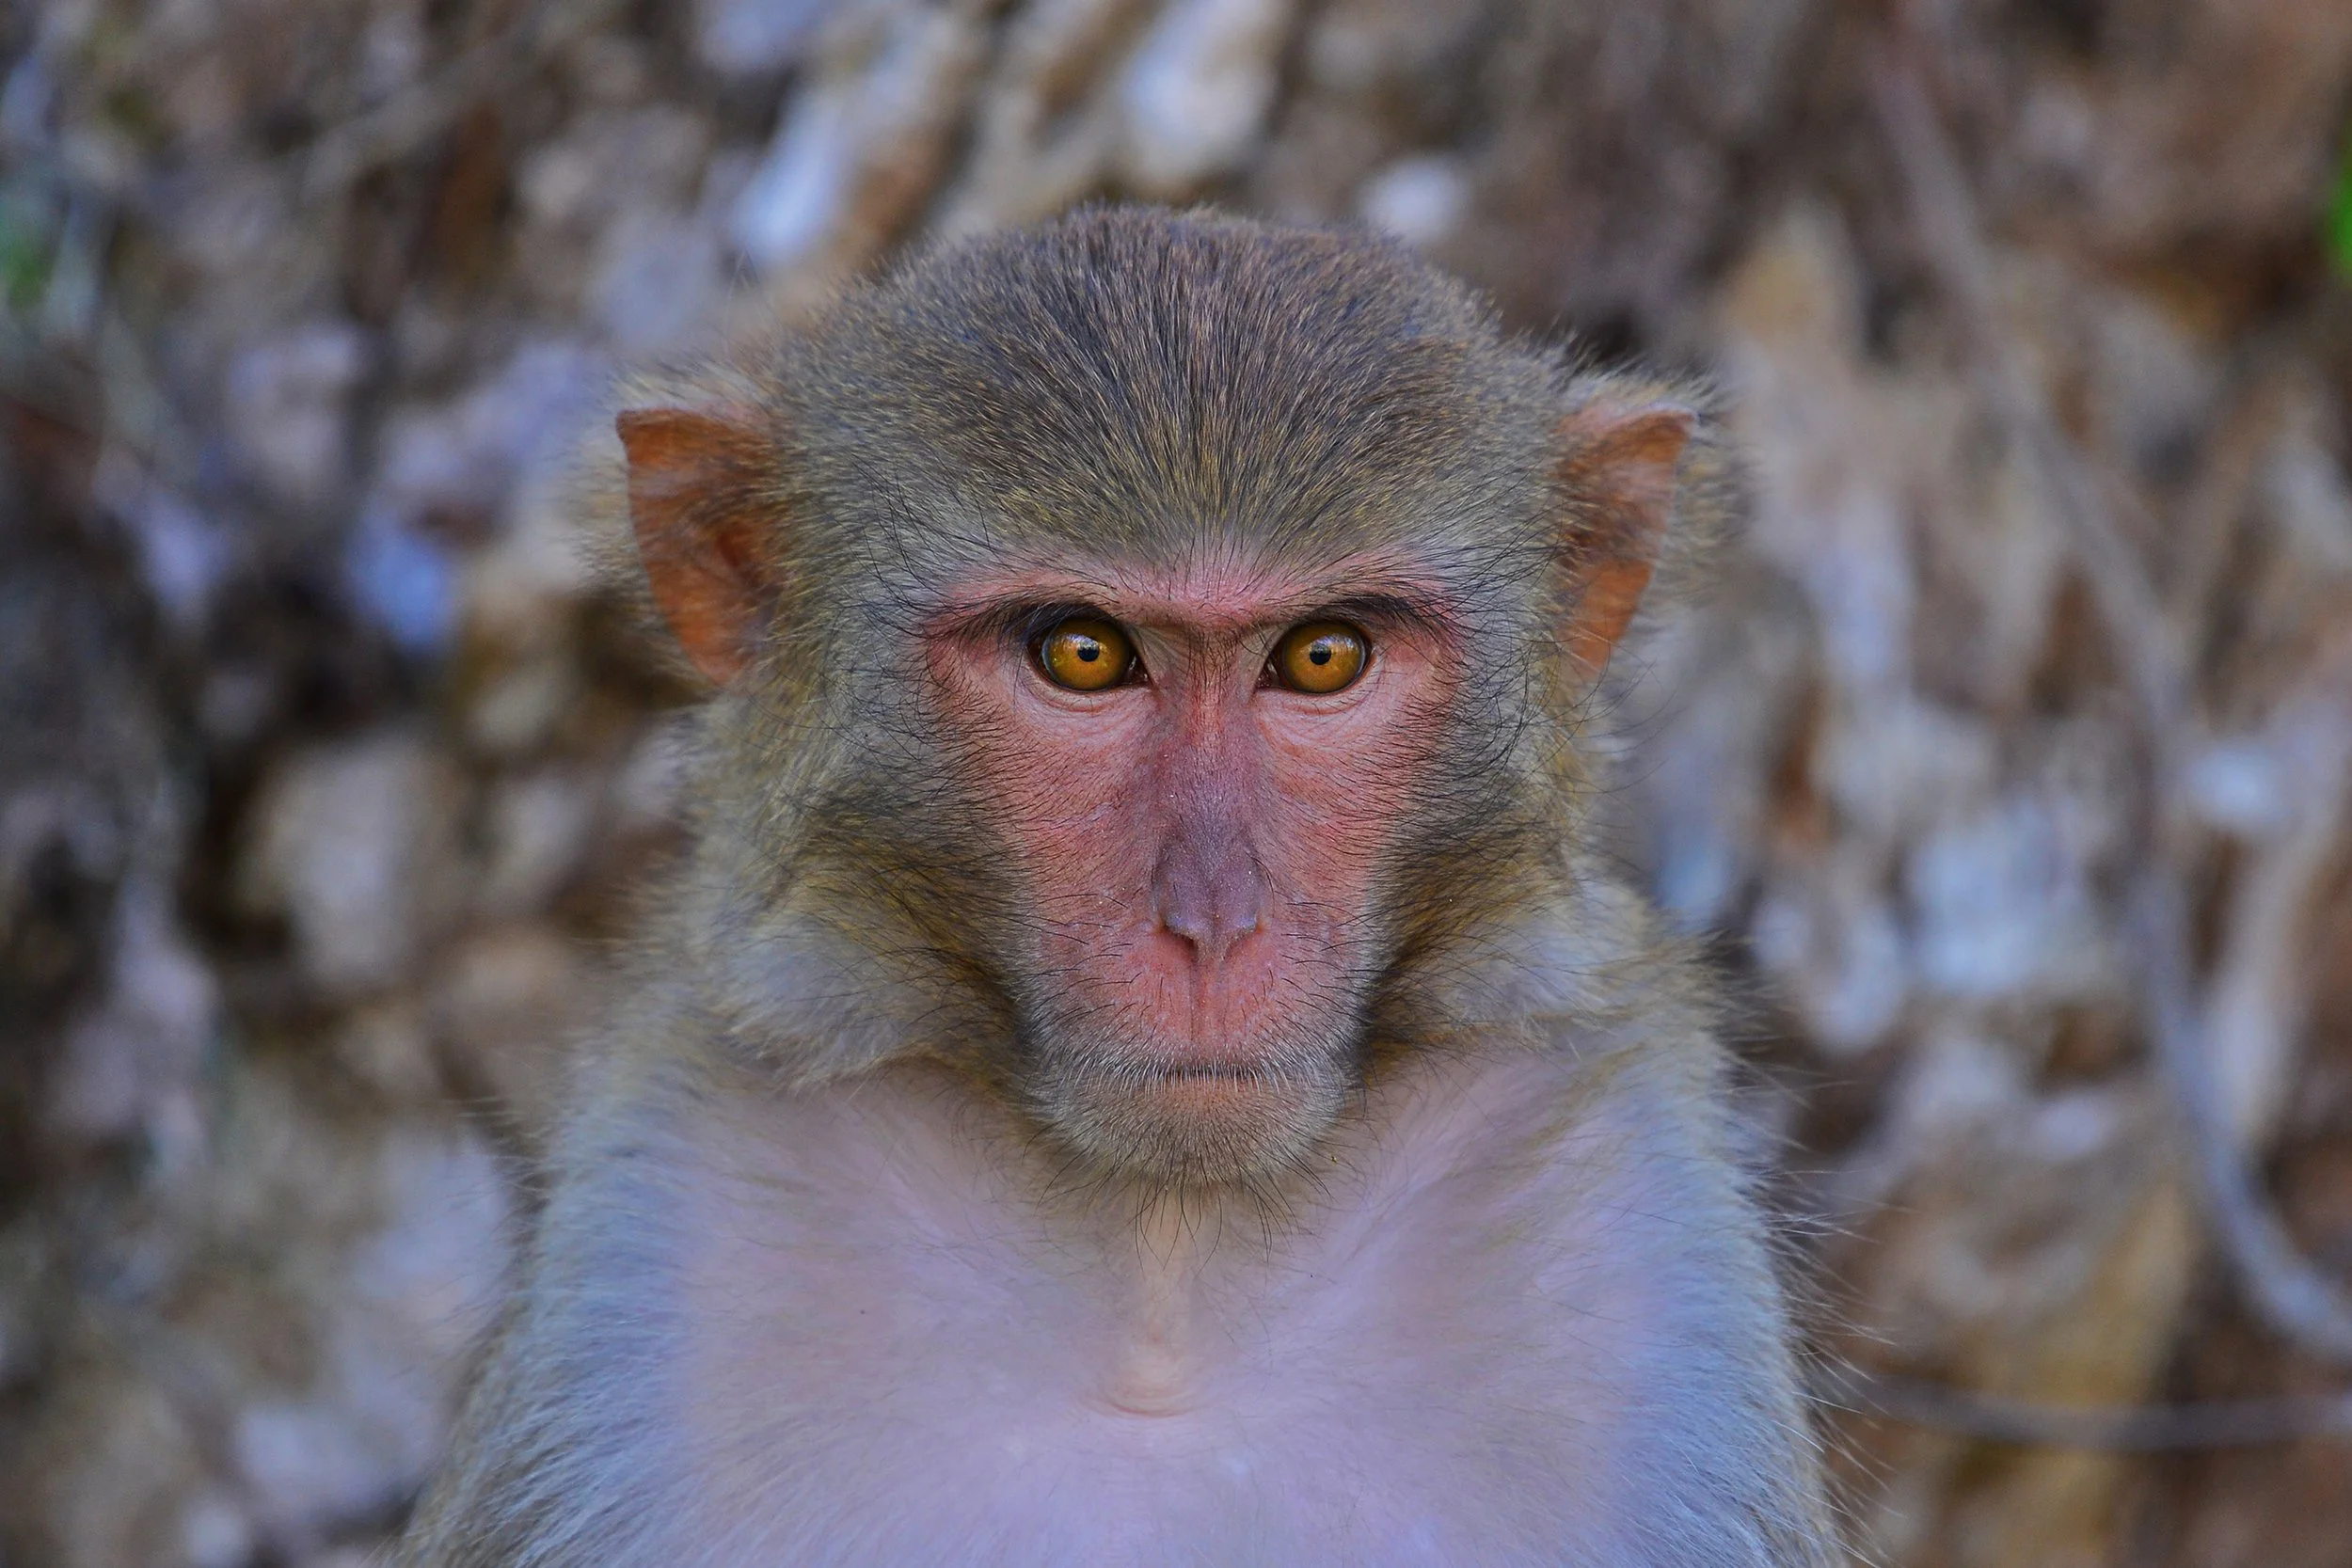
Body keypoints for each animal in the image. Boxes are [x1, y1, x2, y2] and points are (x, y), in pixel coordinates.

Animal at [396, 207, 1838, 1567]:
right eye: (1083, 653)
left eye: (1322, 655)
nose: (1211, 926)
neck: (1163, 1272)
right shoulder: (643, 1284)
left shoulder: (1645, 1267)